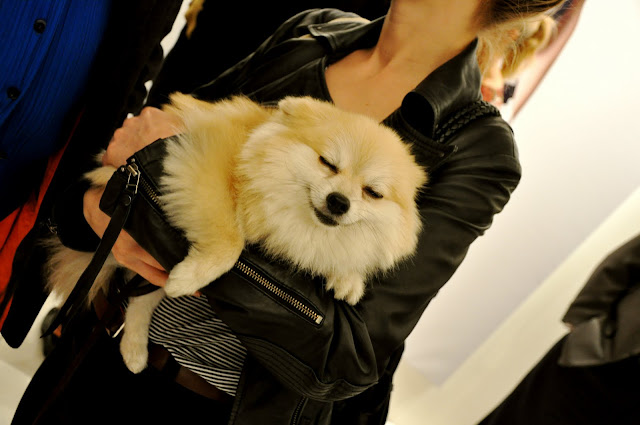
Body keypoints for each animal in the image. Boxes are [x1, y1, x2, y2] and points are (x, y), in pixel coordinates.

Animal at [46, 94, 427, 373]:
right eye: (328, 163)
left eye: (372, 192)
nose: (339, 202)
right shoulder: (204, 163)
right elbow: (230, 240)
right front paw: (193, 275)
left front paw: (348, 278)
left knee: (140, 302)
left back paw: (134, 350)